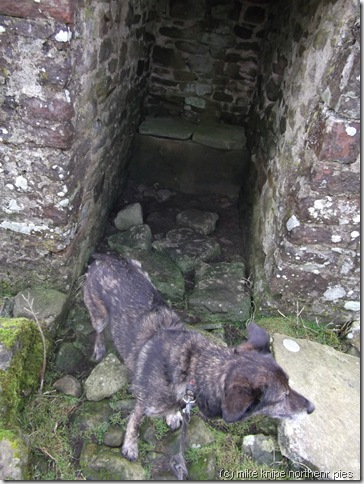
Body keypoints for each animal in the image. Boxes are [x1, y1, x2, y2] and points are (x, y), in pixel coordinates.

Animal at [84, 253, 314, 462]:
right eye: (282, 396)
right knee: (98, 330)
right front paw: (130, 446)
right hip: (99, 314)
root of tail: (106, 256)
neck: (191, 369)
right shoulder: (144, 402)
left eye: (290, 384)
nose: (312, 408)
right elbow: (135, 421)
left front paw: (173, 416)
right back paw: (99, 349)